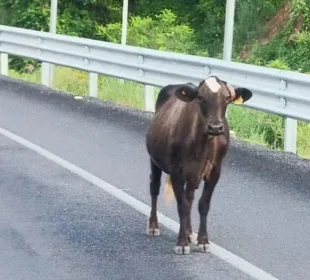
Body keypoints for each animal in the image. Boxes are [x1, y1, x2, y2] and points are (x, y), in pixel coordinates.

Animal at [144, 75, 253, 255]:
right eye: (200, 97)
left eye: (227, 98)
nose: (215, 127)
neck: (202, 144)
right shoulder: (176, 171)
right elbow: (182, 206)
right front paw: (181, 243)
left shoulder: (215, 171)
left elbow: (202, 204)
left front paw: (202, 240)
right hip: (154, 160)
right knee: (154, 187)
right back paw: (153, 226)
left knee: (190, 197)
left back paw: (189, 232)